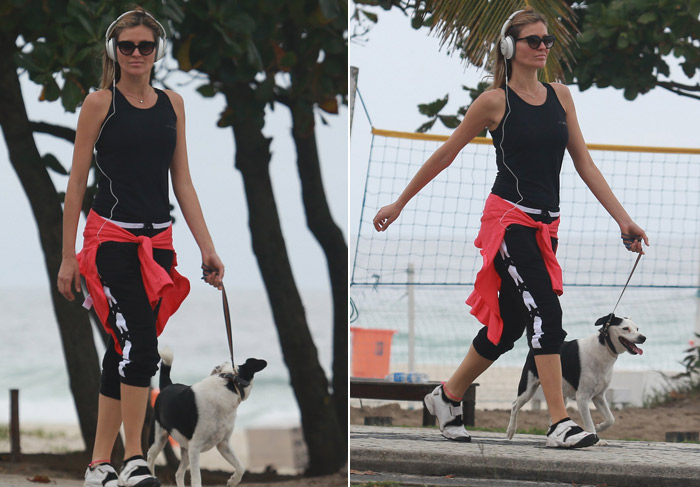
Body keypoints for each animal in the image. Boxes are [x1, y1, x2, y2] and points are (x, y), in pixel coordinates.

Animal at [146, 348, 266, 486]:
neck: (229, 384)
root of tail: (167, 386)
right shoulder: (195, 447)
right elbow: (197, 480)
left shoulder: (223, 444)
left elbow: (241, 467)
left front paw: (232, 481)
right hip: (158, 440)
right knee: (150, 459)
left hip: (186, 450)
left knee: (178, 473)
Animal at [506, 314, 648, 444]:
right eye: (625, 328)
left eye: (637, 328)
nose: (643, 337)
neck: (603, 347)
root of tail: (534, 348)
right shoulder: (582, 398)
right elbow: (589, 422)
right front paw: (595, 439)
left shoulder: (599, 396)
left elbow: (611, 419)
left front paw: (600, 427)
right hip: (528, 388)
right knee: (515, 405)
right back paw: (511, 430)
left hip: (561, 396)